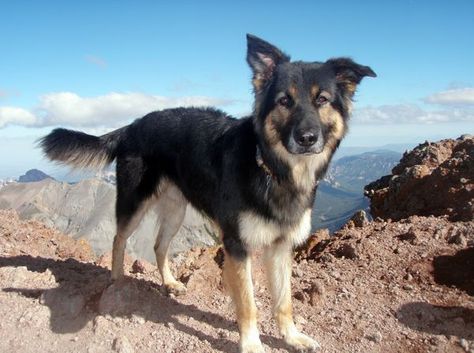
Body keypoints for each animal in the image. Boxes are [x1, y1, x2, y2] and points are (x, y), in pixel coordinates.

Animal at [39, 33, 374, 352]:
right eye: (284, 101)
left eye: (322, 99)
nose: (306, 138)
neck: (272, 169)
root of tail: (133, 125)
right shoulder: (237, 247)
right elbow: (248, 304)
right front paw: (251, 344)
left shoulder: (281, 246)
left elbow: (284, 301)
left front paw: (292, 338)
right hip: (134, 203)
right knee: (119, 239)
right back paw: (117, 280)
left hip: (176, 210)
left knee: (159, 245)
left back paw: (170, 282)